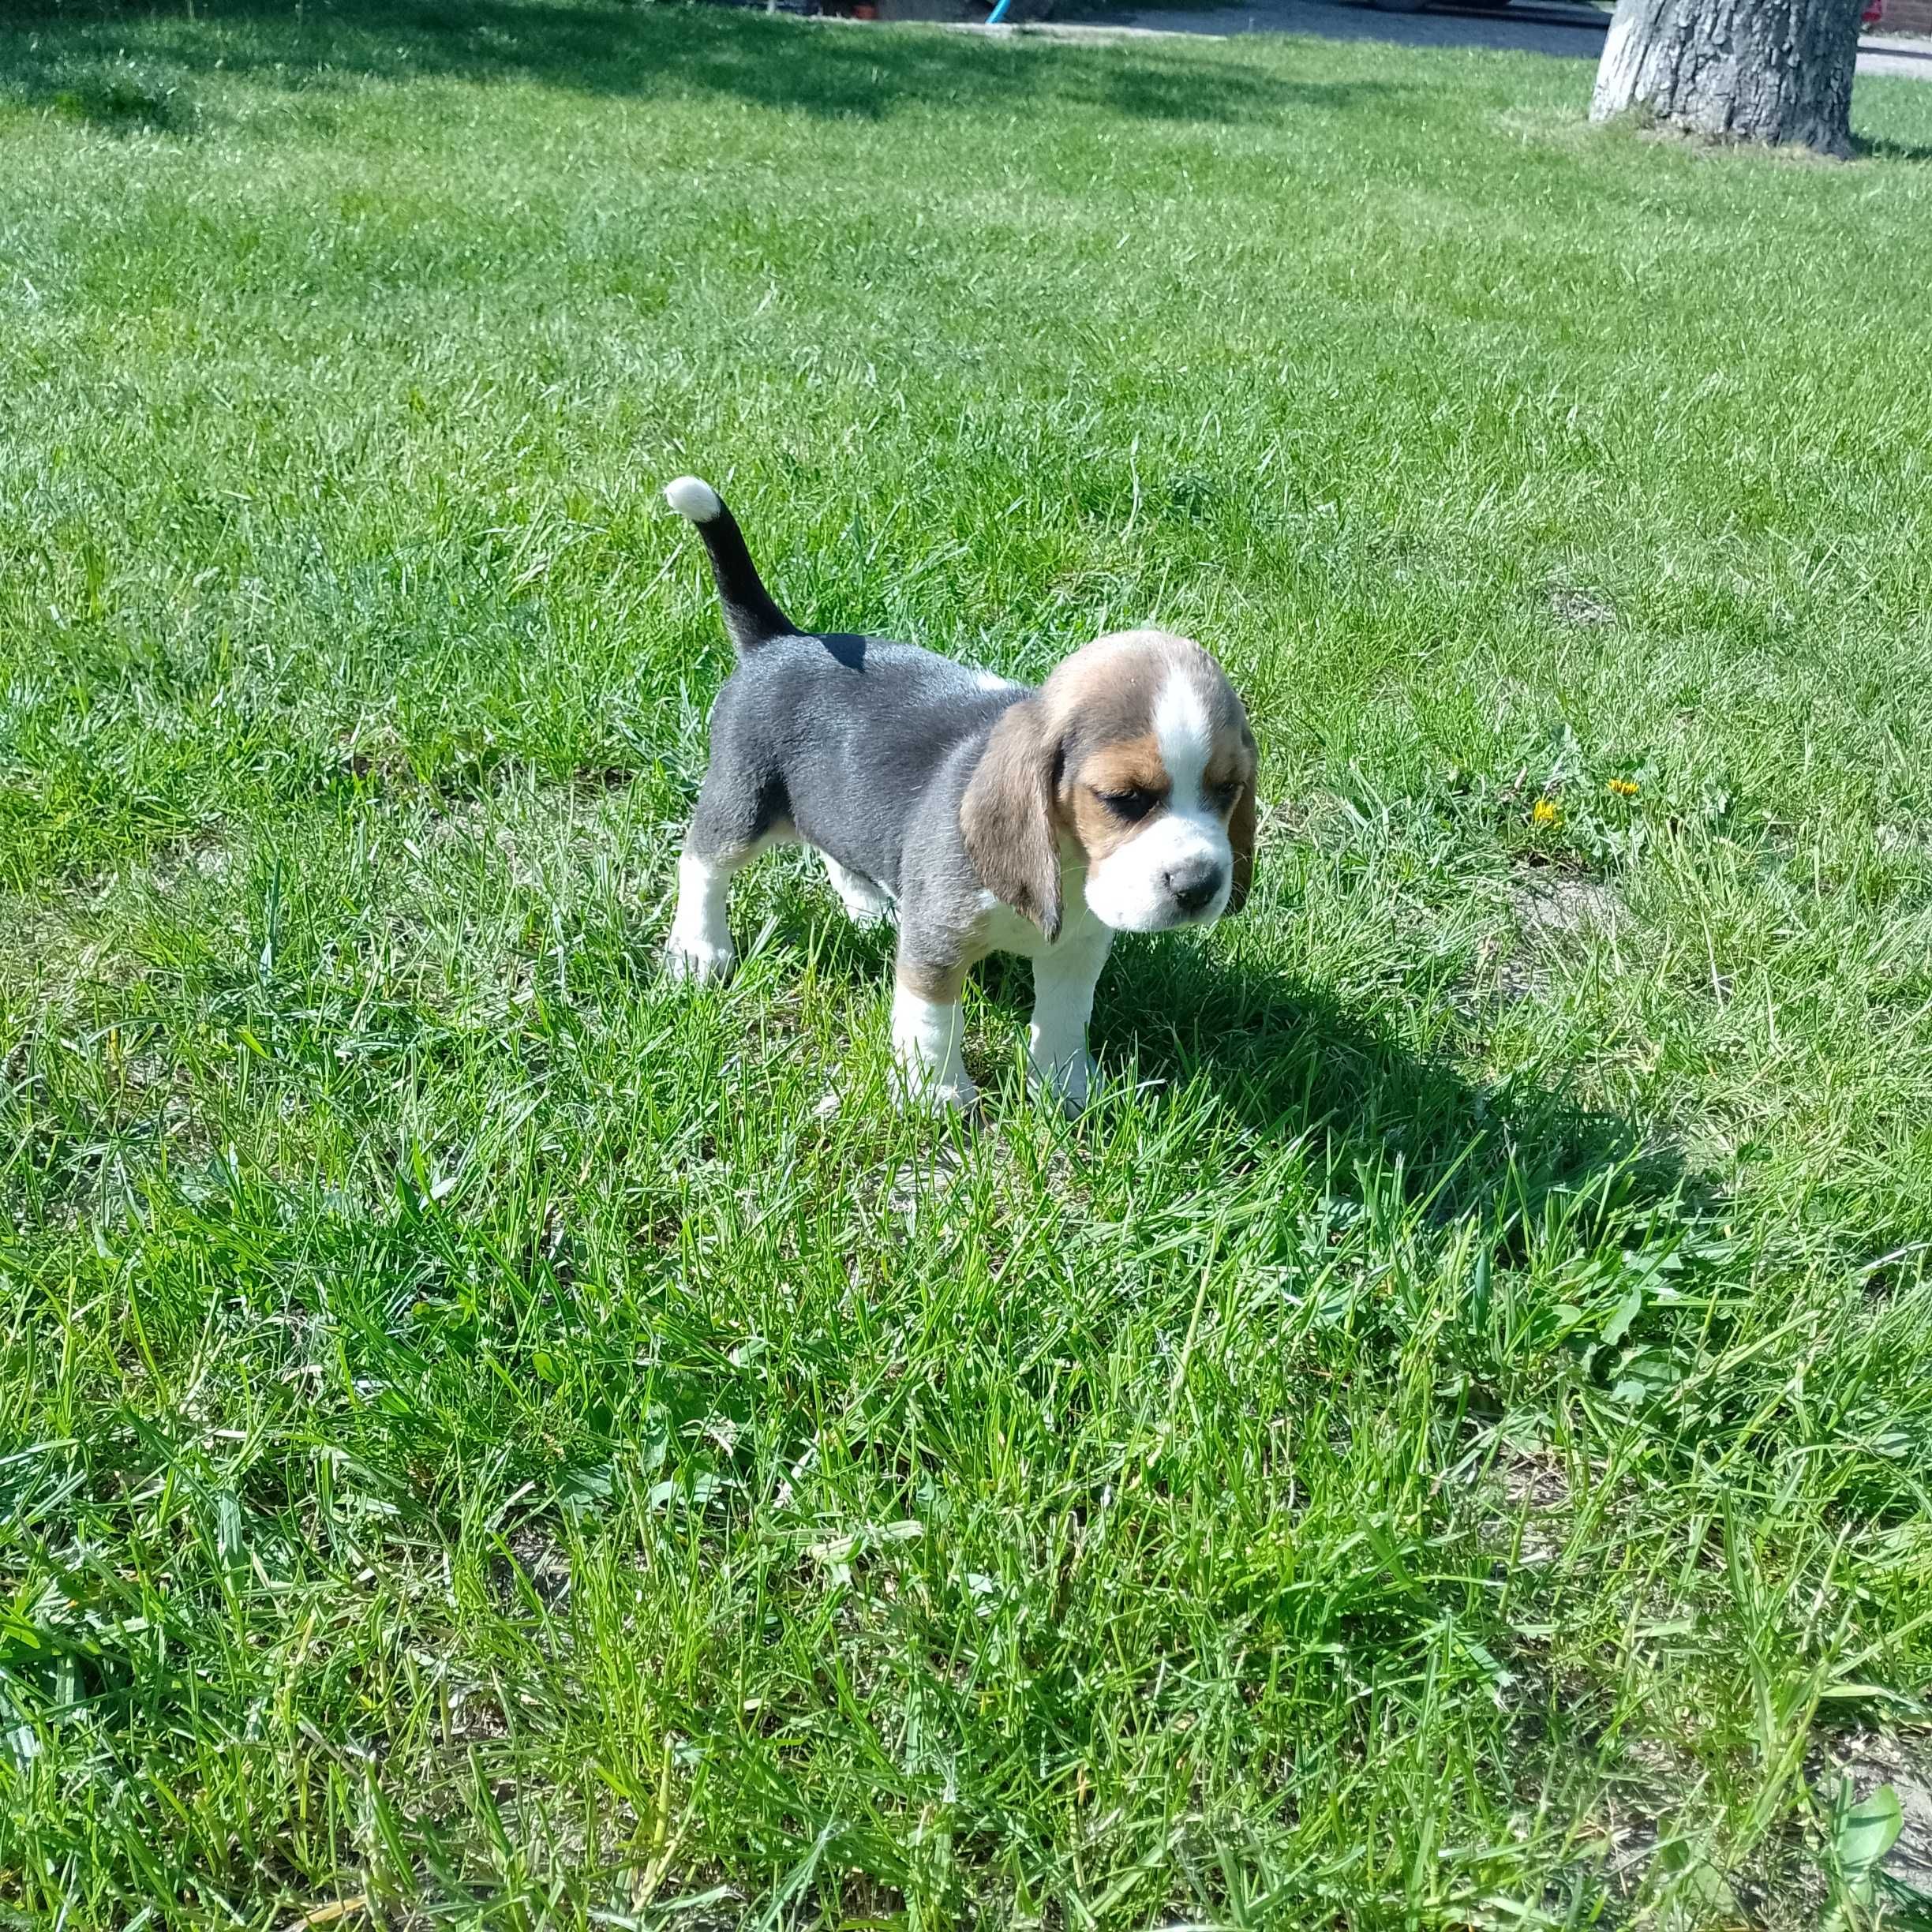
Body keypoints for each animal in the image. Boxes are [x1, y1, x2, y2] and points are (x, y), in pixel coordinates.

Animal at [665, 475, 1260, 1113]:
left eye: (1228, 789)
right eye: (1124, 799)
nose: (1200, 886)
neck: (1068, 862)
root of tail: (781, 643)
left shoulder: (1077, 949)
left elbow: (1066, 1017)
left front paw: (1067, 1090)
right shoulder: (935, 947)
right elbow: (933, 1021)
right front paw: (937, 1096)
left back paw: (868, 908)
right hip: (743, 803)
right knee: (702, 862)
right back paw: (700, 949)